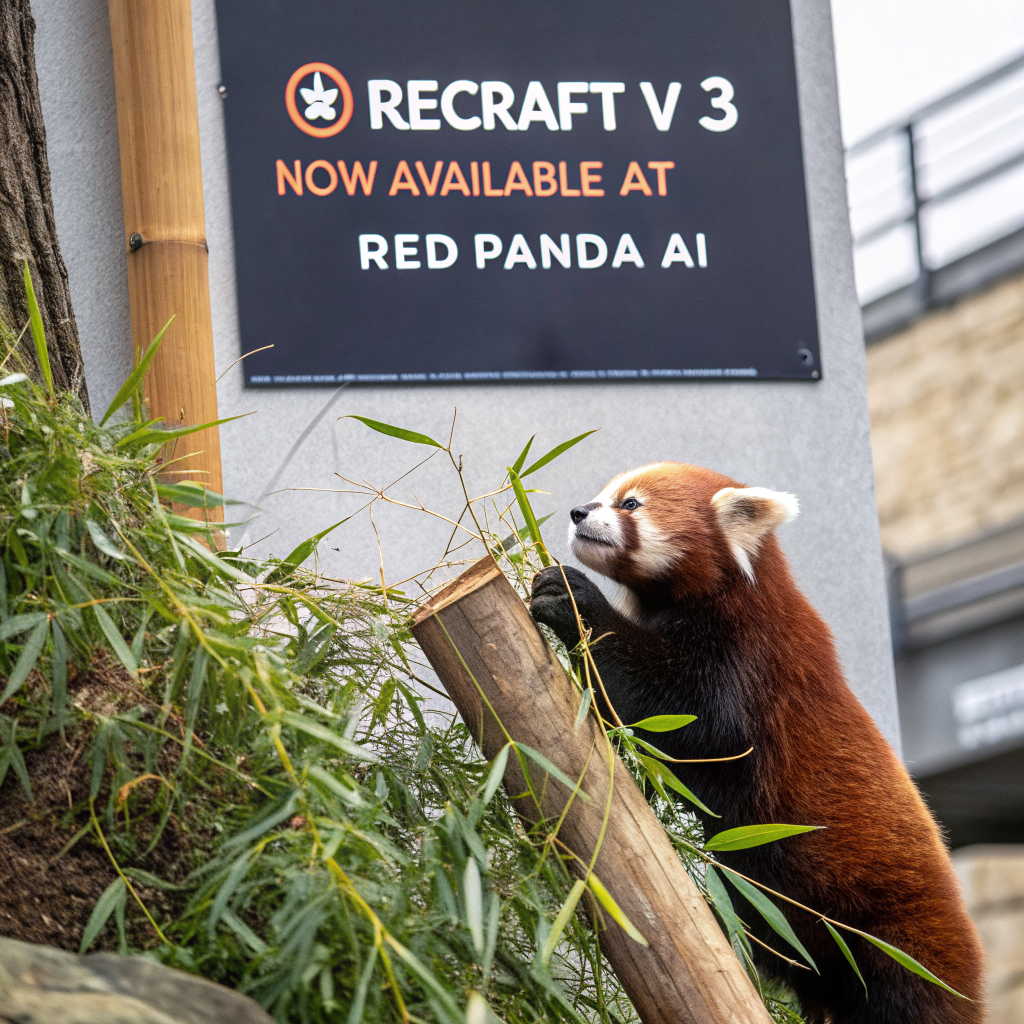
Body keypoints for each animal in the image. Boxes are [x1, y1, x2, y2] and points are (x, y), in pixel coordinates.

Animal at [529, 461, 984, 1024]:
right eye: (600, 495)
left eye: (630, 504)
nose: (577, 512)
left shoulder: (750, 662)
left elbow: (686, 718)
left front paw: (573, 600)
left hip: (898, 945)